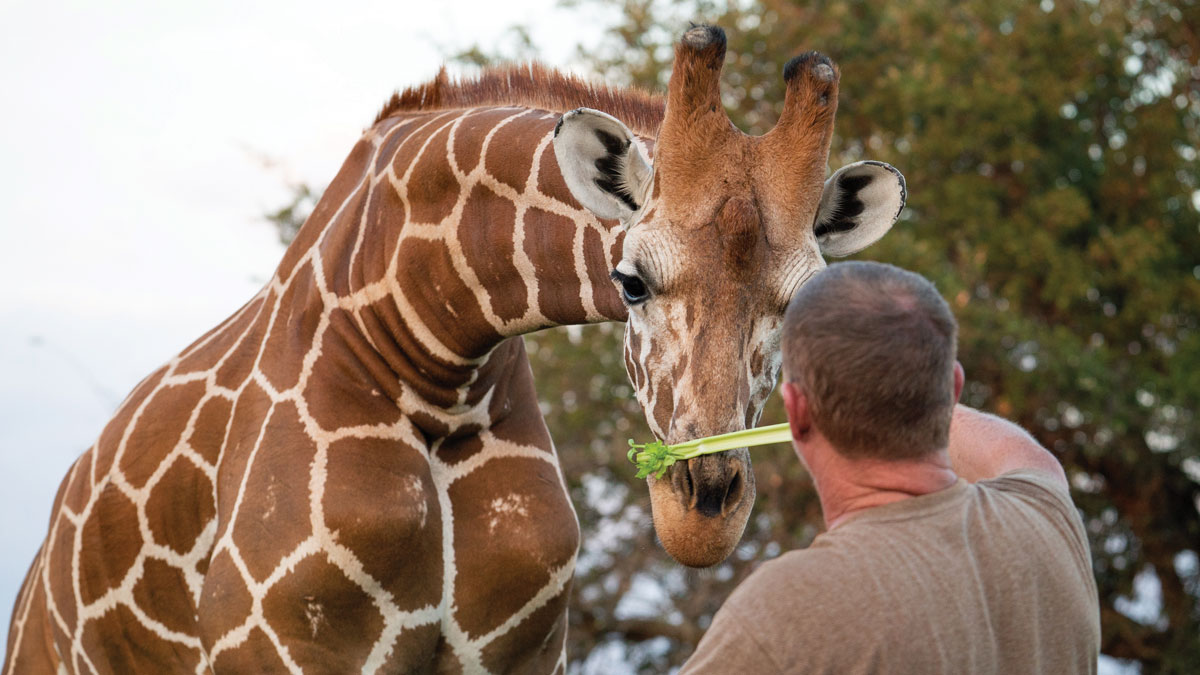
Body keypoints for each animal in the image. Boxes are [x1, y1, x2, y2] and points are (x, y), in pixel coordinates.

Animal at [4, 23, 902, 667]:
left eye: (798, 301)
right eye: (631, 280)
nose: (703, 510)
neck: (430, 354)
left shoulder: (518, 652)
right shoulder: (278, 649)